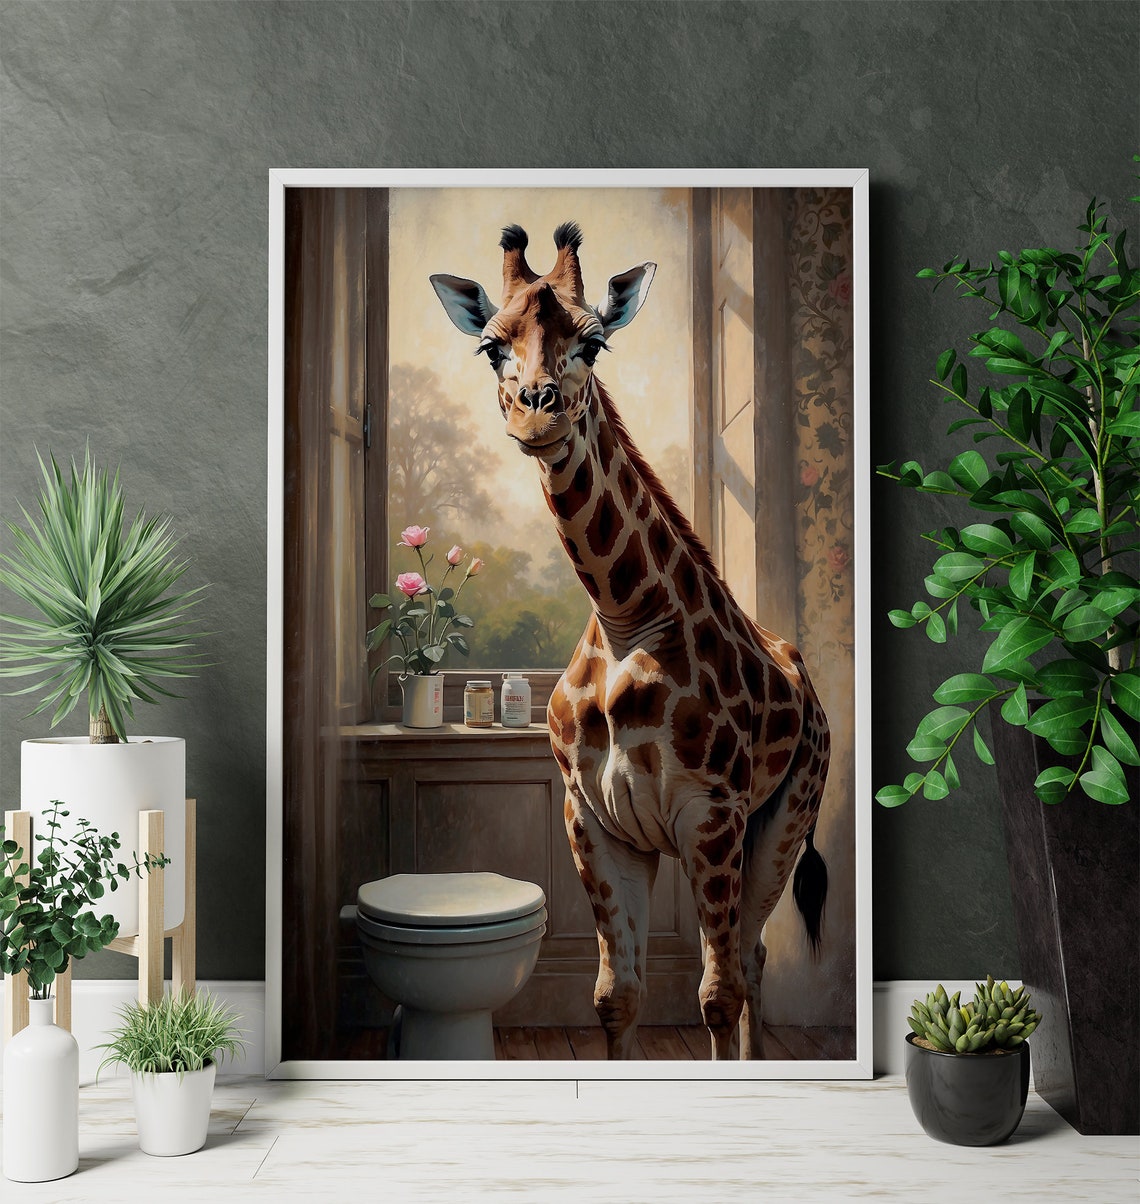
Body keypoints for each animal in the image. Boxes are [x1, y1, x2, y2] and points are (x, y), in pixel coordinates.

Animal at [431, 222, 830, 1060]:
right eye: (490, 346)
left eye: (594, 343)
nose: (537, 414)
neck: (623, 619)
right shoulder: (596, 823)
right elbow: (616, 996)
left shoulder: (712, 818)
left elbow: (713, 996)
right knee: (753, 956)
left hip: (784, 820)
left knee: (749, 958)